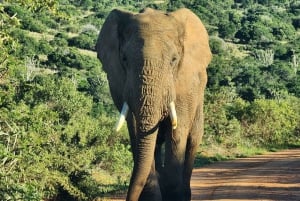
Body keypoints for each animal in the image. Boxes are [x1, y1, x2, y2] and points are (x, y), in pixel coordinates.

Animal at [95, 7, 211, 200]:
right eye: (124, 59)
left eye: (174, 60)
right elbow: (136, 131)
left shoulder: (185, 85)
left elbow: (177, 132)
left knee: (193, 139)